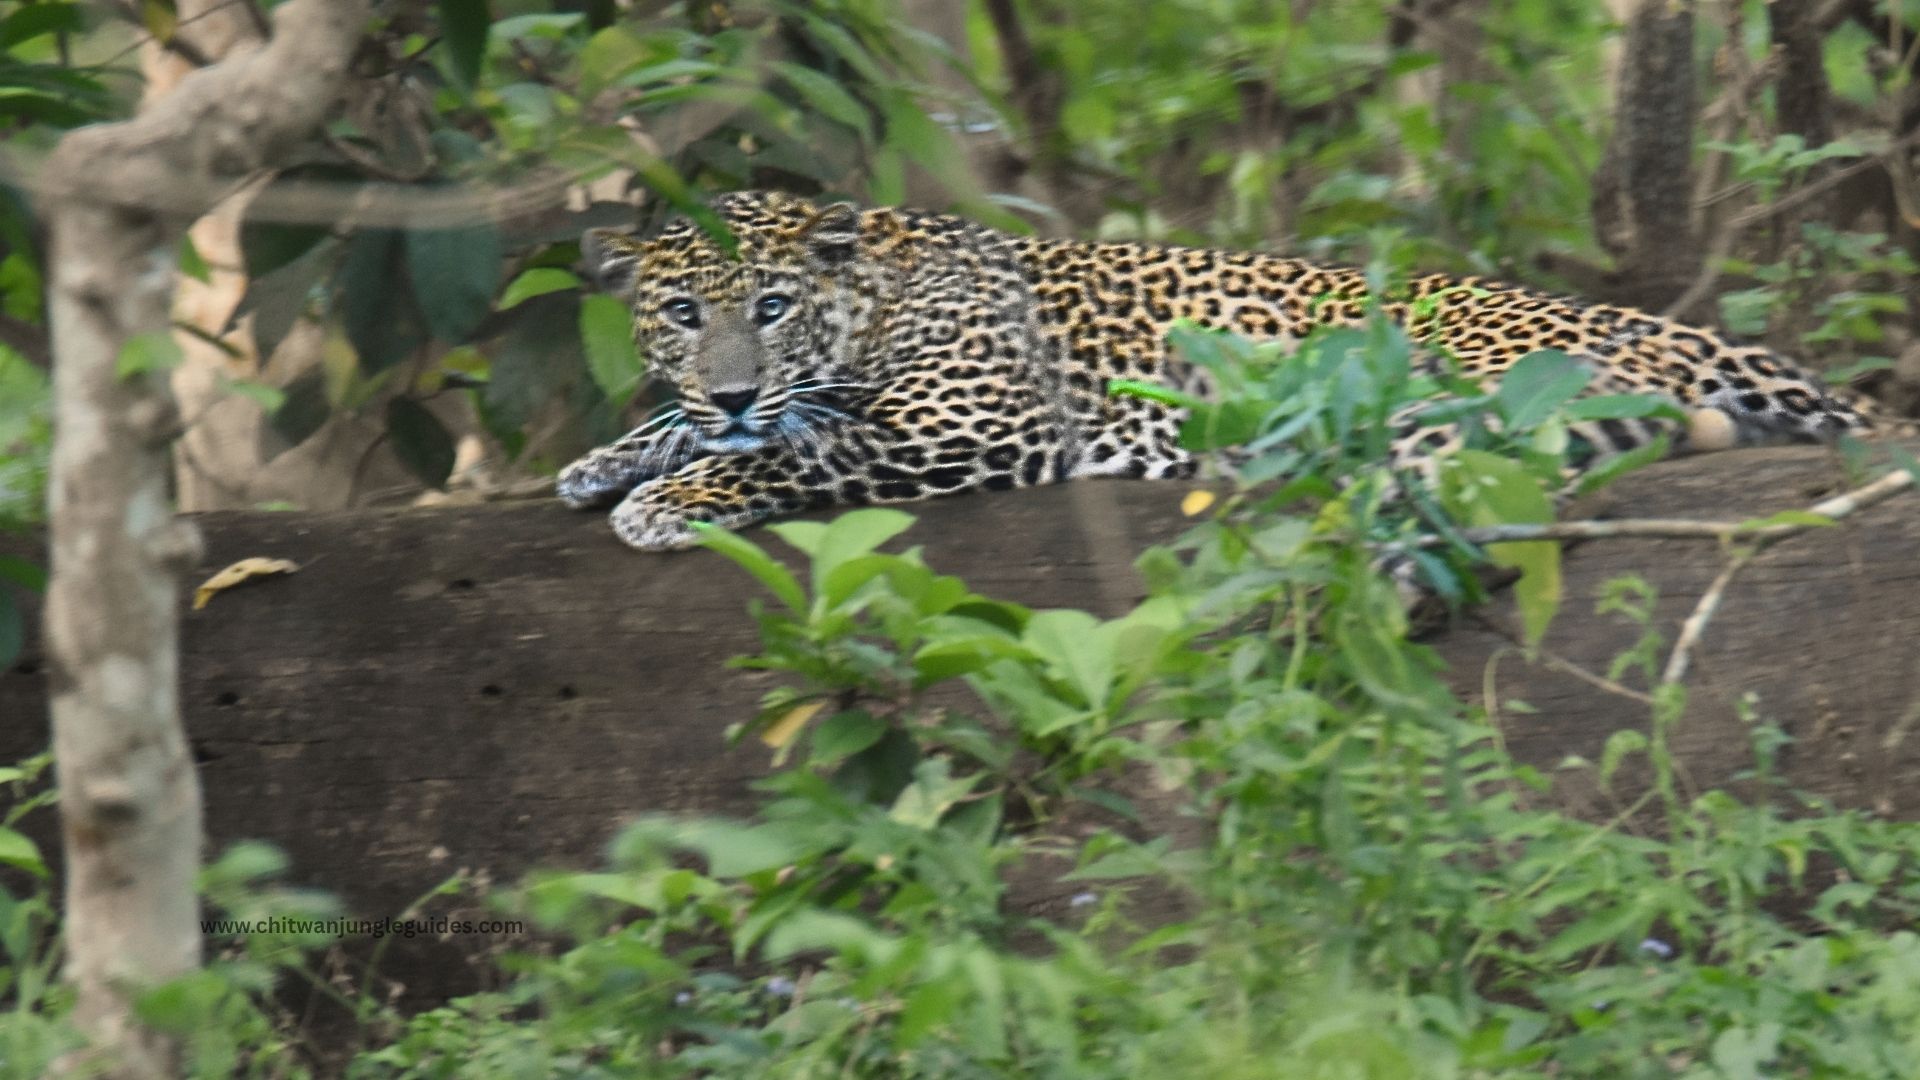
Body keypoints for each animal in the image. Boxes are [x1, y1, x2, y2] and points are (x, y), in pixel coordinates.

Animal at [557, 189, 1878, 550]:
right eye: (683, 313)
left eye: (774, 307)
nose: (732, 385)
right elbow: (722, 429)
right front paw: (612, 459)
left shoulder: (969, 423)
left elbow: (800, 452)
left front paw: (670, 496)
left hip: (1461, 399)